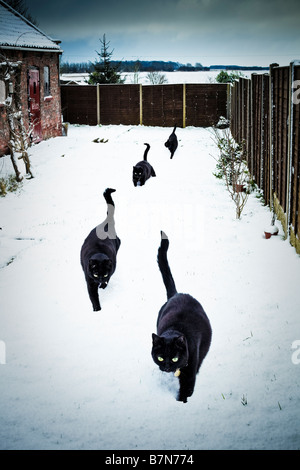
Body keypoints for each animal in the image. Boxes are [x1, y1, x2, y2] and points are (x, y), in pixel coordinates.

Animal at [151, 229, 212, 402]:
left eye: (174, 358)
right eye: (160, 357)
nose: (166, 367)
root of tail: (177, 293)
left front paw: (181, 403)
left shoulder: (189, 376)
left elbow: (186, 391)